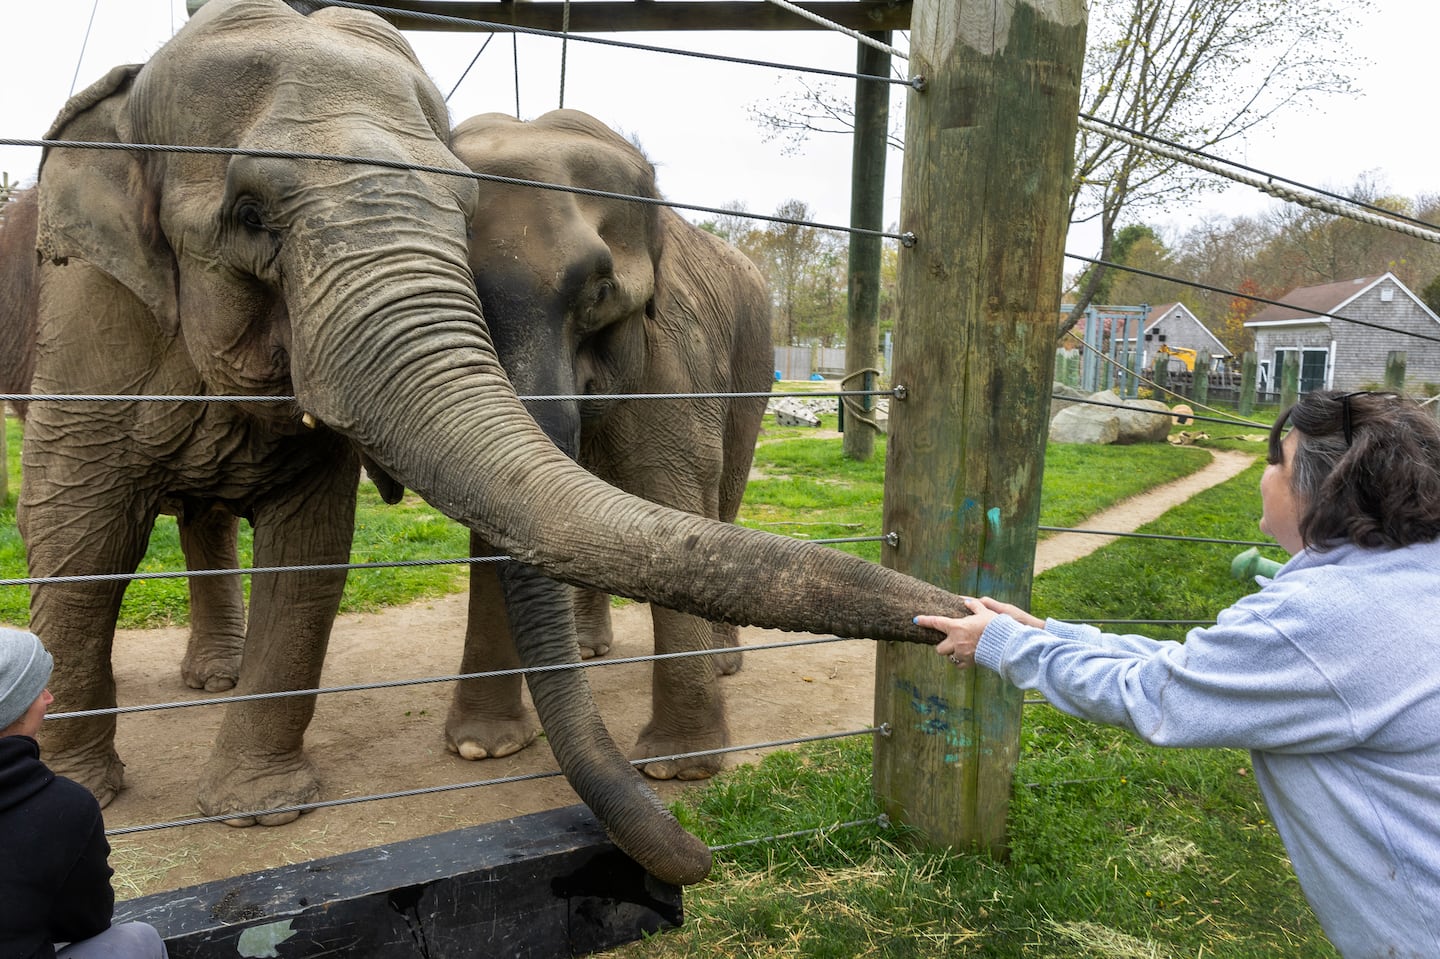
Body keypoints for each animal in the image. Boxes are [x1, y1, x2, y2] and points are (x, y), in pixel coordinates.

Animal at [443, 110, 777, 783]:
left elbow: (676, 497)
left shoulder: (672, 352)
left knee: (724, 488)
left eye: (598, 295)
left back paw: (724, 662)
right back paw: (589, 648)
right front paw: (481, 749)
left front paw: (677, 768)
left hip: (754, 356)